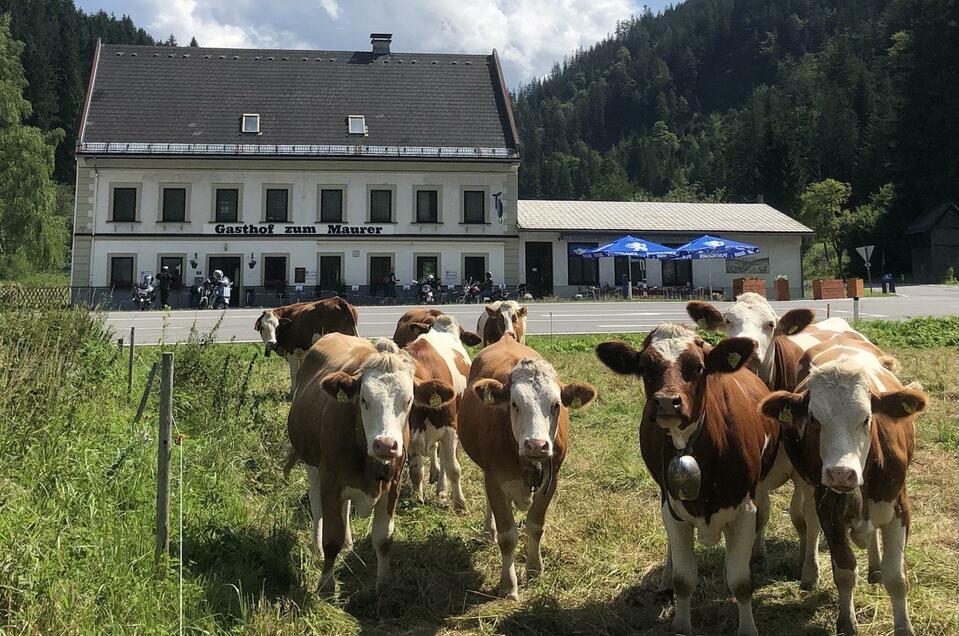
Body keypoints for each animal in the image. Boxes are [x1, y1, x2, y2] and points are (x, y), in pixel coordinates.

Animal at [284, 332, 456, 592]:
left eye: (409, 401)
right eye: (364, 400)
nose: (385, 444)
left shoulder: (392, 485)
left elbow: (383, 537)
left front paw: (384, 582)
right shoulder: (330, 482)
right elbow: (331, 538)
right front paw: (326, 583)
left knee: (345, 509)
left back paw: (348, 541)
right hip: (311, 464)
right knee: (316, 505)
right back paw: (316, 547)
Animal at [404, 314, 476, 512]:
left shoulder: (450, 429)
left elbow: (453, 468)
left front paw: (459, 503)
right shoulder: (412, 433)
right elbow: (415, 471)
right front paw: (417, 498)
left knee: (444, 459)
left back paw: (442, 489)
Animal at [462, 336, 596, 600]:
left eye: (556, 405)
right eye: (514, 403)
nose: (536, 444)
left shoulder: (551, 481)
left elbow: (535, 526)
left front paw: (535, 569)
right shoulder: (494, 480)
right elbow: (507, 536)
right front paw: (508, 585)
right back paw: (488, 531)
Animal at [600, 326, 780, 632]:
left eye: (698, 367)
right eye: (645, 368)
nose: (666, 401)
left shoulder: (744, 510)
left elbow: (740, 582)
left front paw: (748, 628)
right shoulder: (673, 509)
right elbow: (684, 580)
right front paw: (681, 626)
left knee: (763, 517)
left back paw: (758, 552)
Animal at [760, 336, 928, 632]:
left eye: (867, 418)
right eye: (814, 419)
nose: (841, 473)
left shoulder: (900, 507)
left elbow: (896, 577)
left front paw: (904, 627)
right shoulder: (829, 510)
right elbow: (845, 570)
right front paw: (847, 621)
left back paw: (875, 566)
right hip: (808, 487)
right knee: (810, 522)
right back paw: (810, 572)